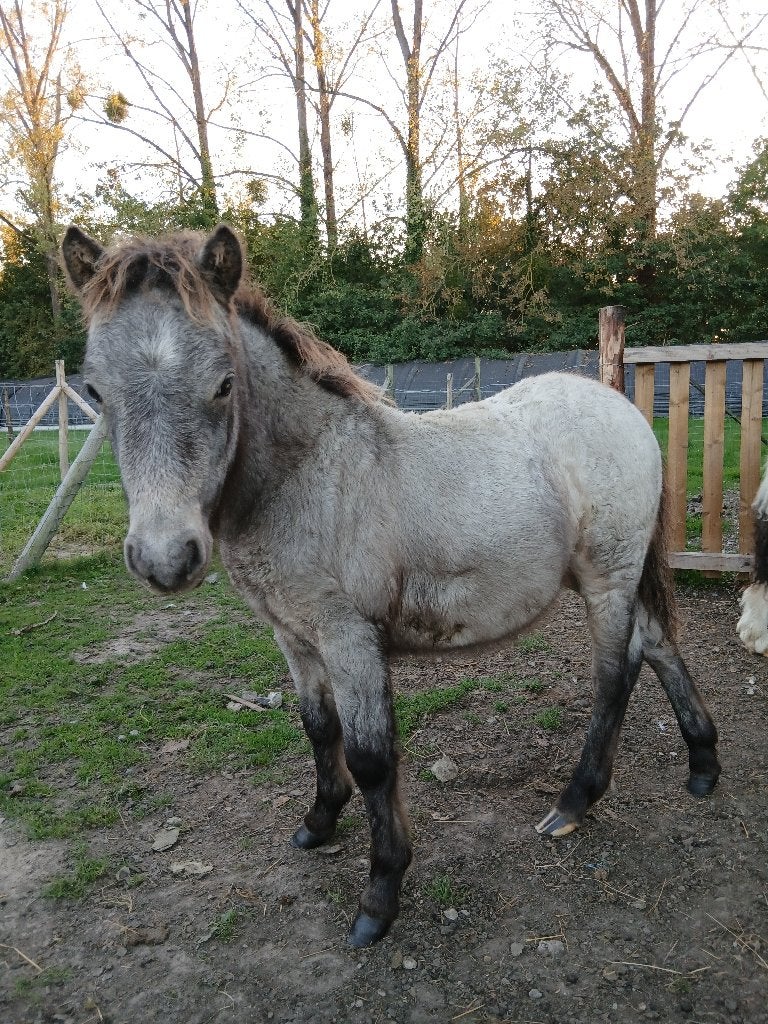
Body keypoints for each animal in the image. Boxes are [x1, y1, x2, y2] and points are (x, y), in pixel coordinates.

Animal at [61, 223, 721, 948]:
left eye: (224, 383)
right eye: (96, 391)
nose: (164, 558)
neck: (309, 472)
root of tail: (622, 408)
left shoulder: (350, 639)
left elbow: (372, 756)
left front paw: (380, 894)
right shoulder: (294, 635)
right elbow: (318, 728)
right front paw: (319, 823)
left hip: (608, 578)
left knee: (616, 674)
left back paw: (574, 801)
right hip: (609, 577)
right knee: (659, 645)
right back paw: (703, 766)